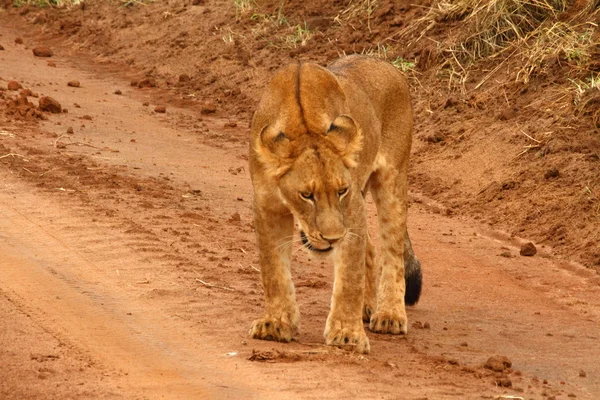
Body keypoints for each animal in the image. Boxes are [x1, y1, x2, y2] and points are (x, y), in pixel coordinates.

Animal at [247, 54, 422, 354]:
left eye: (341, 191)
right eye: (307, 195)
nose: (332, 238)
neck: (303, 122)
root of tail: (385, 63)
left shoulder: (352, 207)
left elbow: (349, 277)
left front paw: (347, 334)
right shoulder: (267, 206)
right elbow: (273, 270)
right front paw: (276, 323)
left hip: (393, 179)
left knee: (393, 251)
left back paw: (389, 314)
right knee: (371, 248)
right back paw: (367, 306)